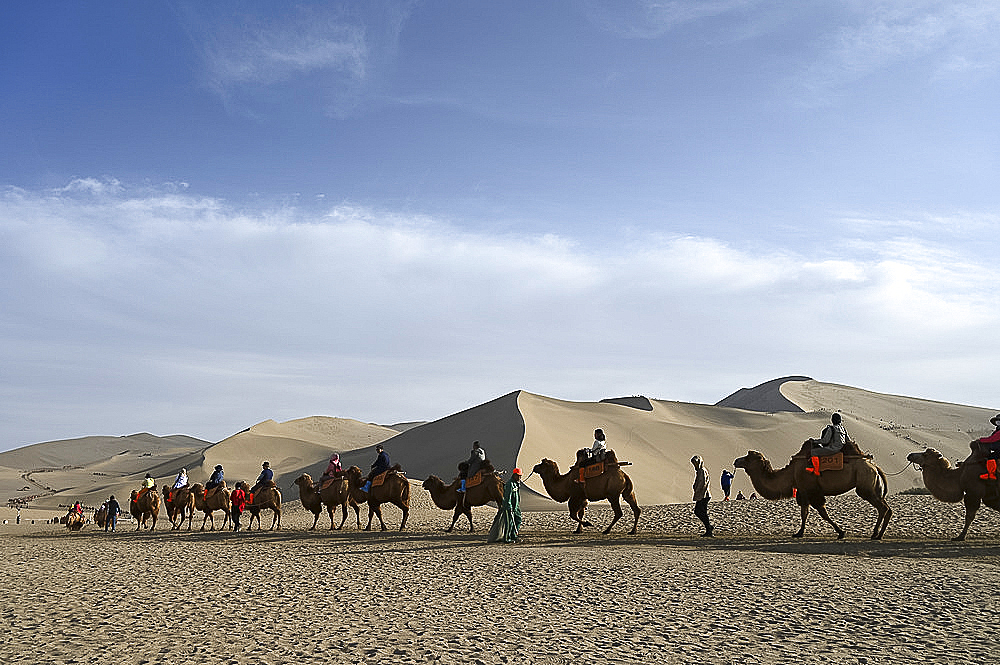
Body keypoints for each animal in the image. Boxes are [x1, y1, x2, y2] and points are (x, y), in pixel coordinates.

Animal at [736, 440, 892, 540]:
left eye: (748, 457)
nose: (736, 461)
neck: (792, 473)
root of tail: (875, 467)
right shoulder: (803, 491)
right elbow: (805, 513)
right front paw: (799, 533)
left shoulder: (811, 490)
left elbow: (821, 513)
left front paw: (840, 532)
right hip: (874, 486)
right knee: (887, 508)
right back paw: (878, 534)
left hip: (865, 485)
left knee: (882, 508)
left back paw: (876, 535)